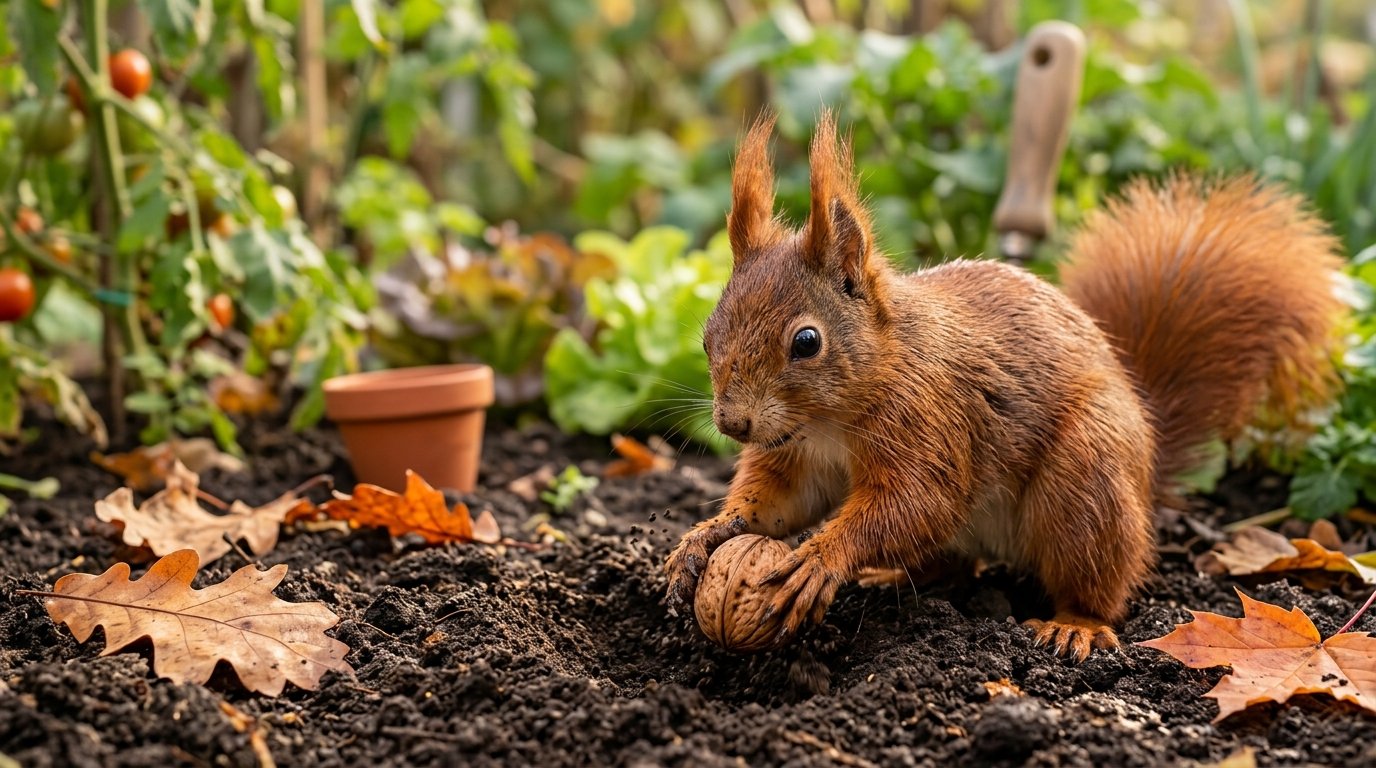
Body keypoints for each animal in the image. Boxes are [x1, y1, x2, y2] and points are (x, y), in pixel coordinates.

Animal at [663, 112, 1346, 660]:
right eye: (708, 332)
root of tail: (1147, 470)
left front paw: (821, 558)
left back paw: (1075, 624)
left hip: (1086, 481)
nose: (733, 423)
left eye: (806, 342)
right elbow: (778, 504)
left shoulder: (930, 420)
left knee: (1093, 577)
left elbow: (915, 501)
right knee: (953, 560)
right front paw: (706, 535)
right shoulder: (796, 455)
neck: (832, 419)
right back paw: (893, 577)